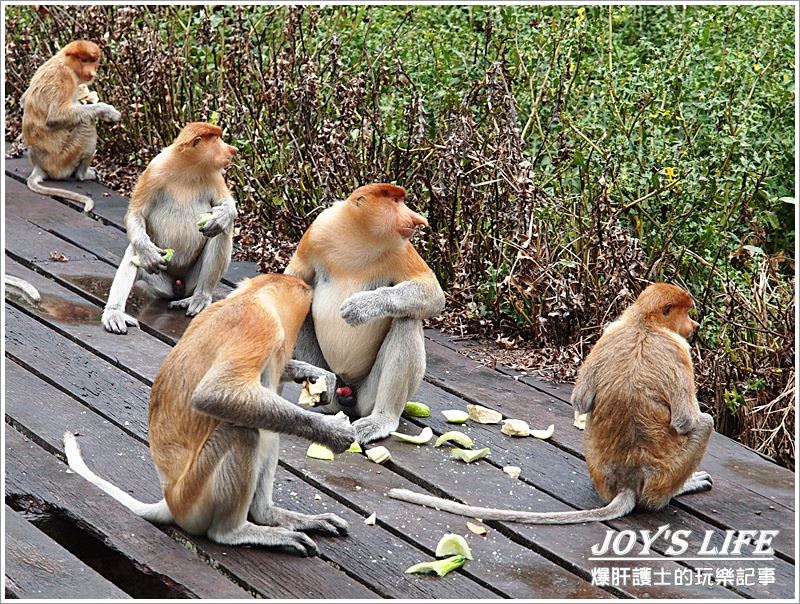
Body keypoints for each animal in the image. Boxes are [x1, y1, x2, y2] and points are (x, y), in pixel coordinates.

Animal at [21, 40, 121, 212]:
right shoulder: (65, 78)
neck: (65, 62)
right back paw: (82, 175)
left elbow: (23, 99)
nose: (92, 72)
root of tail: (40, 165)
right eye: (84, 60)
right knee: (86, 124)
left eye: (93, 61)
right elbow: (55, 116)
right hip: (62, 160)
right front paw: (108, 111)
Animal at [67, 274, 354, 556]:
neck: (254, 295)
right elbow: (212, 394)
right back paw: (236, 532)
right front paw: (334, 431)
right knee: (242, 431)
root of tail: (170, 498)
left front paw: (315, 374)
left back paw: (269, 514)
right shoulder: (258, 326)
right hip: (195, 496)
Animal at [101, 122, 238, 336]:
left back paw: (199, 298)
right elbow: (135, 214)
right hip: (158, 283)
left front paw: (221, 216)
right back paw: (114, 313)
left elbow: (228, 206)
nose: (232, 150)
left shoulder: (215, 176)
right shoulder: (155, 170)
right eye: (217, 139)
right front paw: (148, 252)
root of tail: (178, 286)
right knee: (135, 250)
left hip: (192, 281)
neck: (189, 167)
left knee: (221, 231)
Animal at [284, 184, 444, 444]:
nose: (417, 219)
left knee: (407, 321)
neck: (361, 236)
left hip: (369, 394)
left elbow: (433, 292)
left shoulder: (401, 248)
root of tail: (349, 393)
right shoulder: (317, 231)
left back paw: (380, 419)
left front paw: (362, 307)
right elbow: (294, 278)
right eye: (396, 202)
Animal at [390, 284, 716, 524]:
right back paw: (679, 489)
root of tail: (629, 481)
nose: (694, 324)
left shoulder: (610, 330)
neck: (645, 323)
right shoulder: (679, 350)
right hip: (663, 477)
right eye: (686, 313)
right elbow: (686, 421)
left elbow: (581, 401)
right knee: (705, 423)